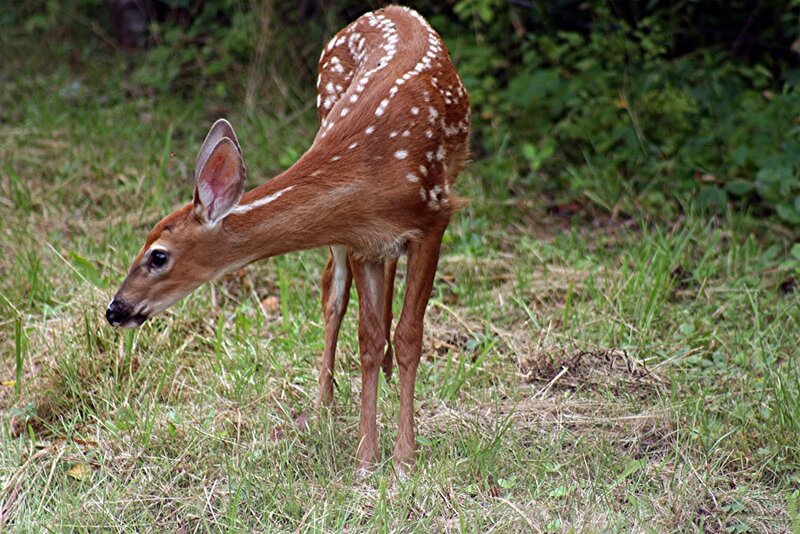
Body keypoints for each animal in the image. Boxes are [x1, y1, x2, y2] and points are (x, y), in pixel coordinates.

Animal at [105, 5, 470, 474]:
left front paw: (404, 457)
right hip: (326, 112)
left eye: (157, 256)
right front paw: (366, 457)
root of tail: (386, 9)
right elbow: (367, 339)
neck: (369, 175)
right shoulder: (361, 239)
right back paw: (323, 403)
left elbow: (410, 336)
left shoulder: (434, 216)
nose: (115, 309)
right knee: (333, 293)